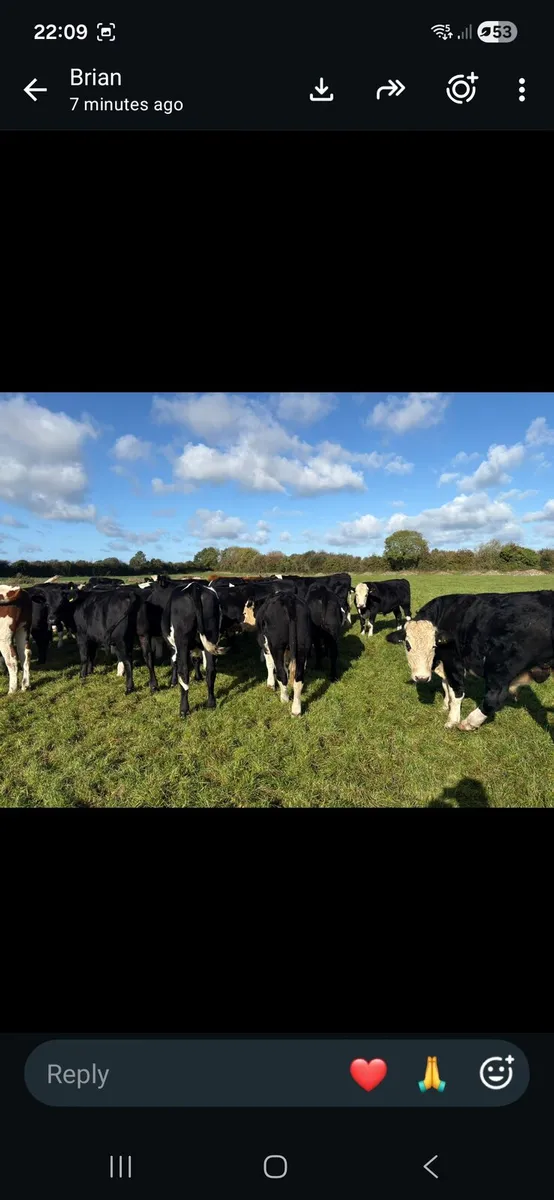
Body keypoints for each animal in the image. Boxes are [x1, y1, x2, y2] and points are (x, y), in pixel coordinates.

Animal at [160, 581, 224, 717]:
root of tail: (195, 587)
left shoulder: (173, 646)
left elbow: (174, 662)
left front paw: (173, 682)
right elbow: (196, 659)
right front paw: (198, 677)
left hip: (182, 641)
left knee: (183, 671)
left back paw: (184, 710)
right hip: (211, 635)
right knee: (211, 670)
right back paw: (211, 703)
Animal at [387, 590, 554, 731]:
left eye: (434, 645)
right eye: (407, 645)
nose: (421, 678)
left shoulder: (453, 662)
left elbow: (456, 692)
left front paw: (452, 719)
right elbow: (445, 685)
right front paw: (445, 705)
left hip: (499, 668)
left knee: (495, 697)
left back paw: (468, 723)